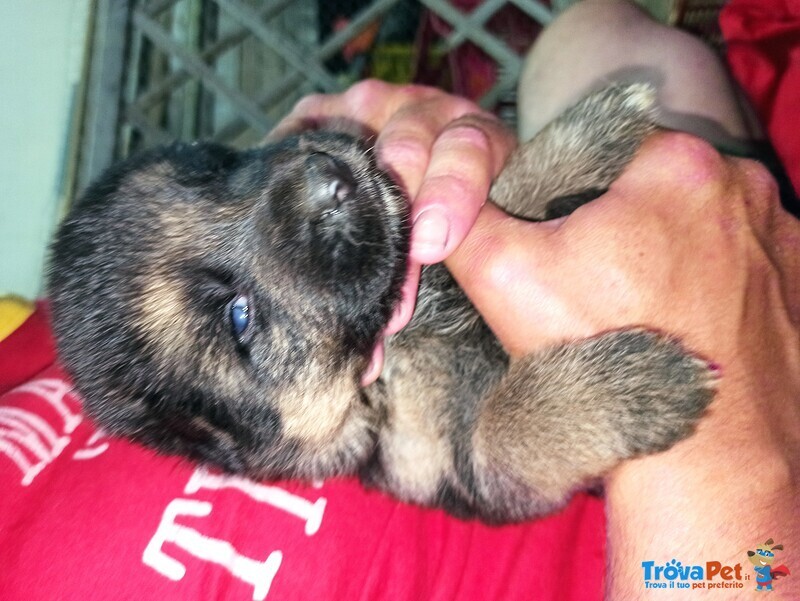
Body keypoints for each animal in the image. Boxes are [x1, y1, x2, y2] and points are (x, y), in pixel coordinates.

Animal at [48, 84, 712, 520]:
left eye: (215, 167)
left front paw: (589, 133)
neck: (393, 347)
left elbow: (499, 194)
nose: (328, 183)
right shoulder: (472, 473)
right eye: (239, 317)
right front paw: (634, 387)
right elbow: (513, 424)